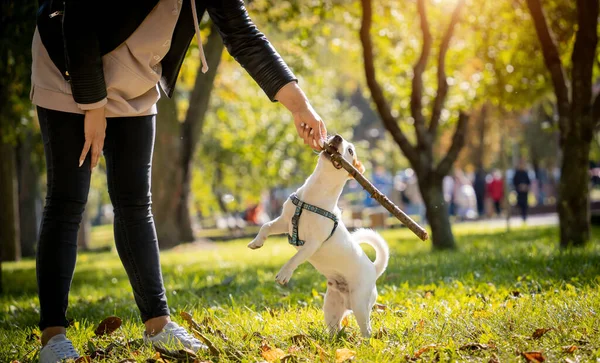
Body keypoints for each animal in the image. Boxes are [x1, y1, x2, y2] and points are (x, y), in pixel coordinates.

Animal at [247, 134, 390, 338]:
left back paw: (365, 342)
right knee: (335, 327)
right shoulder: (284, 222)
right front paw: (256, 242)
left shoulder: (313, 243)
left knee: (366, 329)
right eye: (333, 135)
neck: (314, 193)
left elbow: (295, 257)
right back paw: (332, 340)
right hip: (331, 306)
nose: (337, 137)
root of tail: (373, 268)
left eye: (350, 150)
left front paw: (284, 273)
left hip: (360, 304)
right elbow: (266, 226)